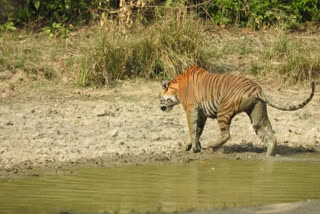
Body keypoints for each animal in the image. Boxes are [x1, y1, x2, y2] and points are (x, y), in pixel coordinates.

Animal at [159, 64, 314, 156]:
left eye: (160, 98)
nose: (160, 107)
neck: (177, 86)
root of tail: (257, 89)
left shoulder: (192, 109)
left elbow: (192, 129)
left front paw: (194, 149)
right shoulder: (201, 114)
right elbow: (197, 131)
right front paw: (190, 145)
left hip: (223, 110)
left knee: (226, 134)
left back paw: (211, 146)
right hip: (258, 114)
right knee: (270, 137)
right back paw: (269, 157)